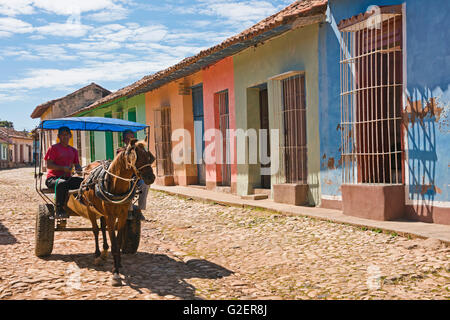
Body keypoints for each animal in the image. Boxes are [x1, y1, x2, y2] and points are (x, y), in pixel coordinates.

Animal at [75, 137, 155, 284]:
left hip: (101, 211)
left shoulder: (122, 216)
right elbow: (114, 244)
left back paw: (104, 252)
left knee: (102, 227)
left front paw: (119, 264)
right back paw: (97, 255)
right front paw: (116, 273)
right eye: (136, 158)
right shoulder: (111, 216)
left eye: (149, 157)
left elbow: (117, 242)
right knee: (96, 230)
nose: (151, 178)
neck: (116, 186)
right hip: (90, 209)